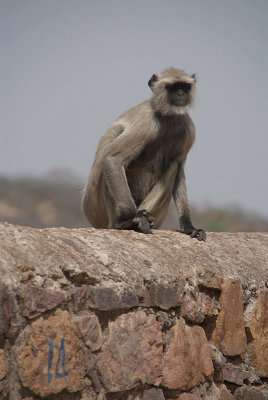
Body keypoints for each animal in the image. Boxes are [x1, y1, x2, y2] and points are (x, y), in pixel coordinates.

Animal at [82, 67, 206, 241]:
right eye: (172, 87)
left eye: (185, 86)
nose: (181, 93)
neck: (166, 116)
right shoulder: (146, 121)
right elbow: (113, 159)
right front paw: (133, 215)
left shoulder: (188, 128)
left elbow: (179, 169)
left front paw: (189, 226)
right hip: (96, 207)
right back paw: (123, 222)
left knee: (173, 165)